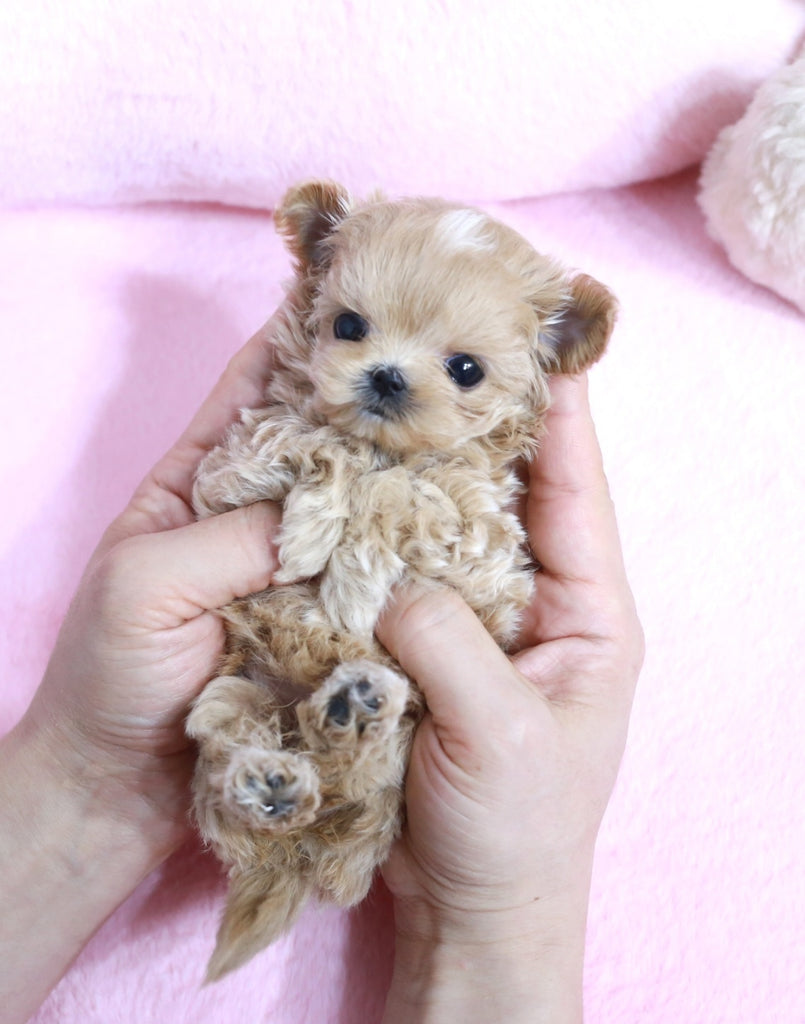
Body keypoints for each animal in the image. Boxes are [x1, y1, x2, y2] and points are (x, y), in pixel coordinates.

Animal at [186, 180, 614, 978]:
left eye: (466, 369)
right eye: (348, 326)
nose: (386, 376)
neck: (390, 444)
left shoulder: (480, 552)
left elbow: (395, 491)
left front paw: (350, 575)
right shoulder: (228, 473)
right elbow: (318, 440)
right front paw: (315, 525)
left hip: (402, 757)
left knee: (362, 779)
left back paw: (346, 723)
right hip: (234, 695)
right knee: (232, 773)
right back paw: (272, 782)